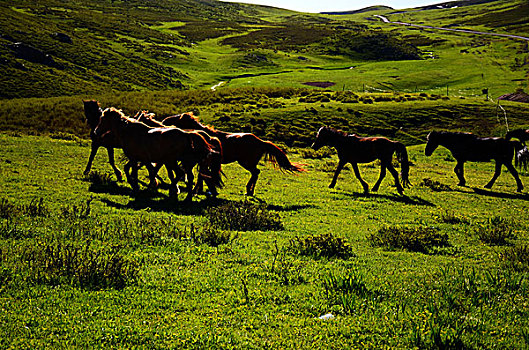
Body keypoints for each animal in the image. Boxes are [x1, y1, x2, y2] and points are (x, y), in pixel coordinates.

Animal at [93, 107, 221, 202]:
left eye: (102, 118)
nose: (96, 131)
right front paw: (142, 186)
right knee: (190, 176)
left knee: (181, 174)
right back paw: (188, 197)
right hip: (179, 162)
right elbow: (142, 170)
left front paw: (136, 187)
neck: (129, 132)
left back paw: (174, 191)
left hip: (172, 161)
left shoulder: (135, 158)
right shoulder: (141, 159)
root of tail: (186, 134)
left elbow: (135, 172)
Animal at [161, 112, 304, 196]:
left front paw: (198, 190)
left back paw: (248, 191)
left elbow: (202, 175)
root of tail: (261, 141)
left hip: (246, 162)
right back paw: (250, 191)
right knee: (256, 173)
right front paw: (201, 189)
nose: (164, 121)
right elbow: (203, 175)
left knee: (256, 172)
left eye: (177, 118)